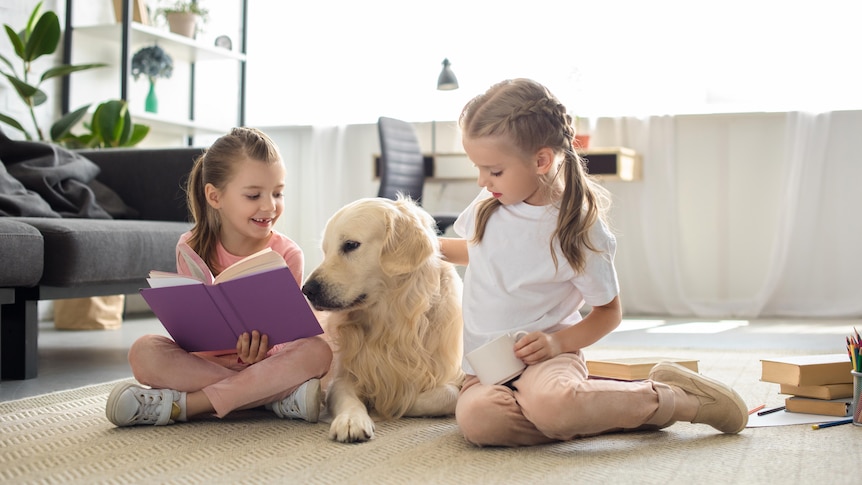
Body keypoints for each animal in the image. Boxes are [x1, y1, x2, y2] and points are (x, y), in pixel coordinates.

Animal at [304, 196, 466, 442]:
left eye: (350, 245)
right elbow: (347, 397)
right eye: (325, 250)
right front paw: (352, 419)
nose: (307, 290)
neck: (390, 320)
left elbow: (448, 394)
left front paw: (390, 405)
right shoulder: (342, 378)